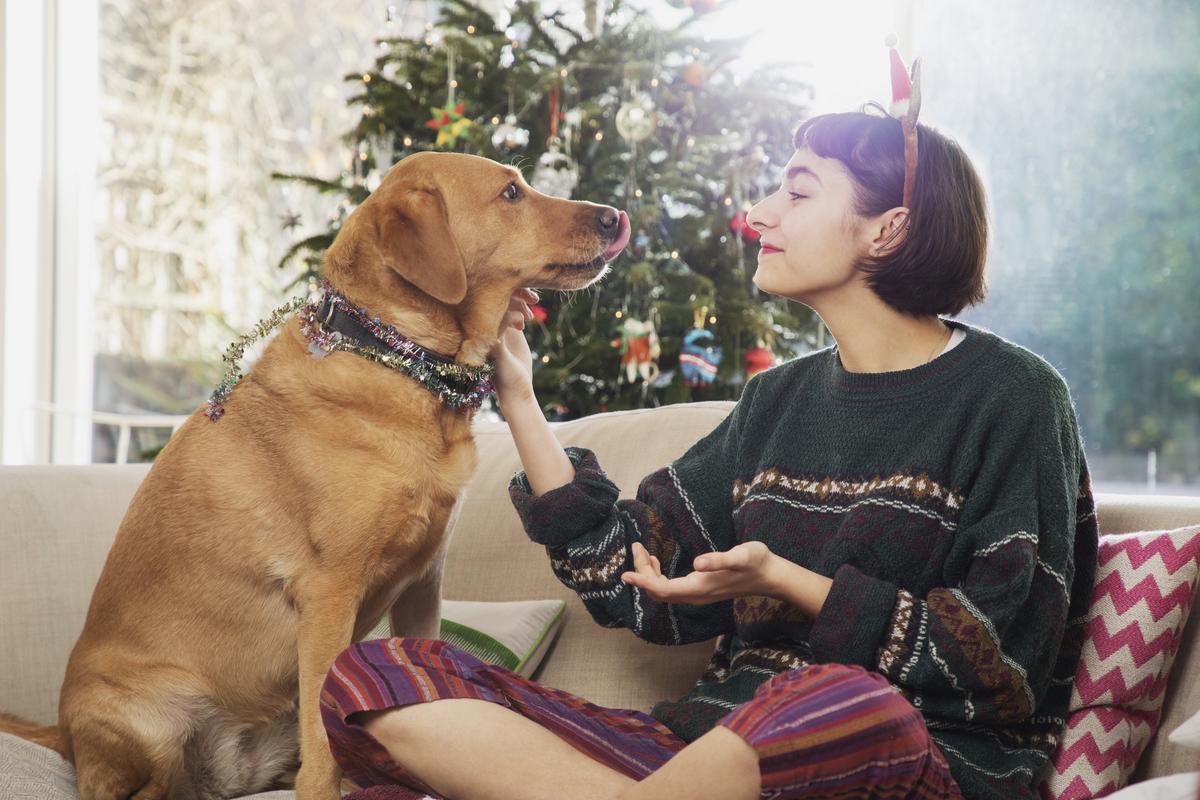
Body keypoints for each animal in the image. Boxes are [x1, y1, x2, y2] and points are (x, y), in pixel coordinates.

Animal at [0, 151, 633, 800]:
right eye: (511, 193)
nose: (616, 215)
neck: (401, 359)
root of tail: (63, 735)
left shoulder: (424, 583)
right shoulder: (329, 591)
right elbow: (325, 749)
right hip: (151, 725)